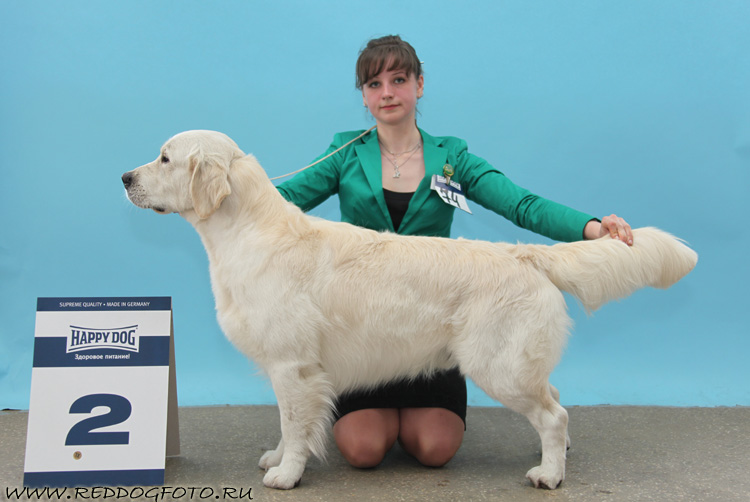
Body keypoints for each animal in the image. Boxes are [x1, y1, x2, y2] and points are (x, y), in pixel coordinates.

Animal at [122, 129, 700, 490]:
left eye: (165, 158)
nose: (125, 177)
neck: (248, 231)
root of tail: (523, 253)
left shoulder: (293, 364)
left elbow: (294, 423)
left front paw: (286, 475)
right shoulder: (290, 368)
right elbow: (289, 423)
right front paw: (281, 457)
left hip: (499, 365)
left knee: (553, 414)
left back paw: (549, 474)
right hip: (517, 361)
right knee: (556, 397)